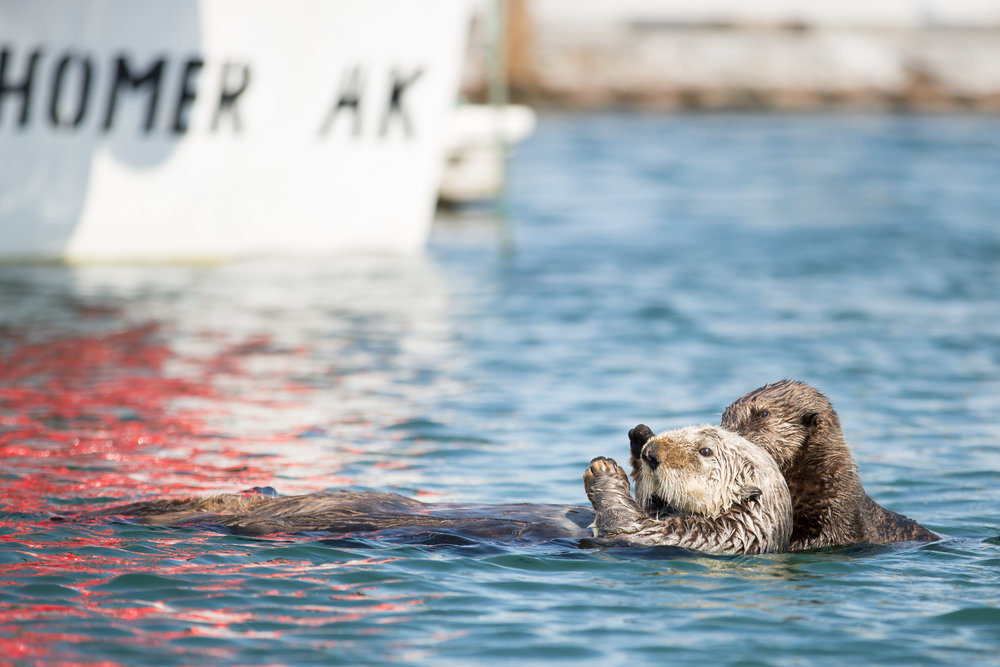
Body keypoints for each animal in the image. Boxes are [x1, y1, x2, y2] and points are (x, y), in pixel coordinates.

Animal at [584, 428, 788, 552]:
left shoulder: (704, 536)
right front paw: (641, 435)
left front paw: (604, 471)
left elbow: (630, 527)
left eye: (705, 451)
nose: (649, 452)